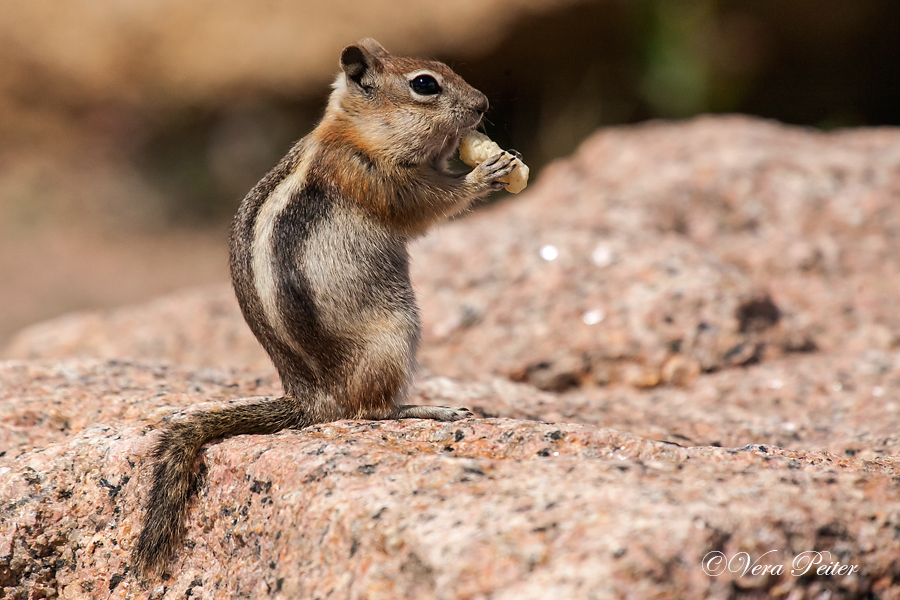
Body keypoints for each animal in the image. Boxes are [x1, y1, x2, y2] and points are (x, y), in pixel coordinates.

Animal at [130, 39, 516, 580]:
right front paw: (486, 171)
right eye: (425, 84)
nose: (482, 105)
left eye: (445, 67)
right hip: (395, 334)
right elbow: (426, 205)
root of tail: (311, 402)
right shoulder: (375, 178)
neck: (355, 132)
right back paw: (431, 408)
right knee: (368, 412)